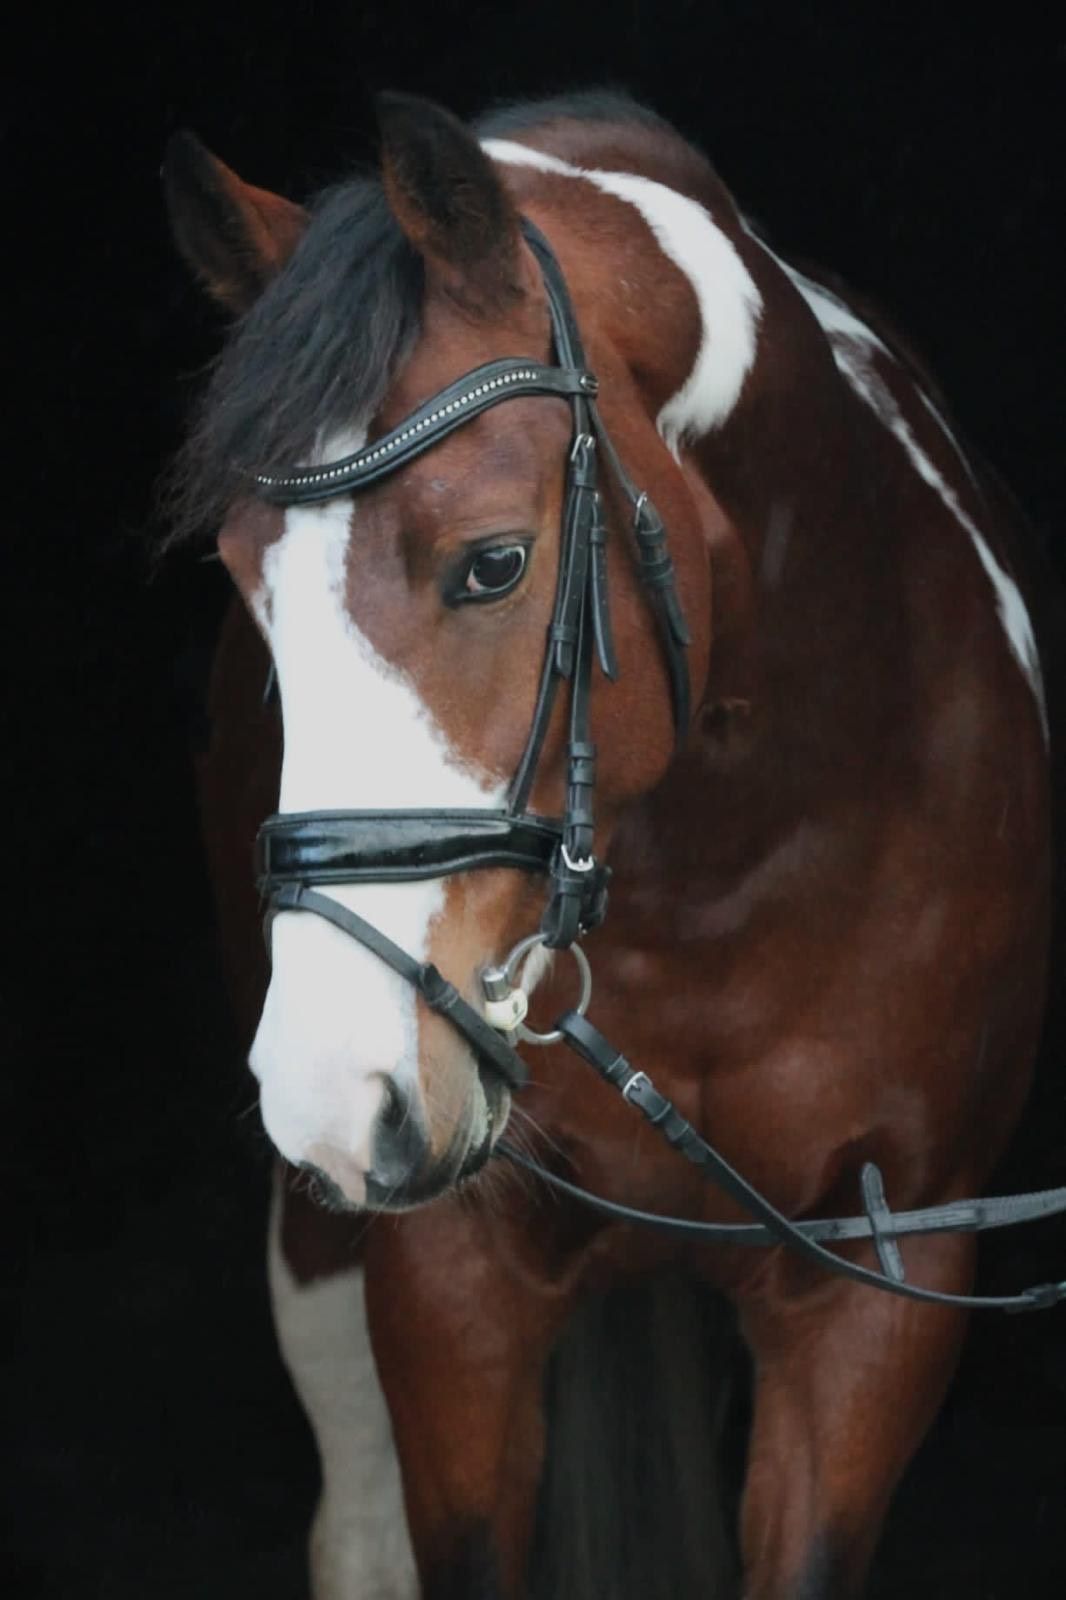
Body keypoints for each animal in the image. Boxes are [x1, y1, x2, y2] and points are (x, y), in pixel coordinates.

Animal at [163, 89, 1054, 1599]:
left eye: (493, 562)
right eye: (245, 579)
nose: (332, 1087)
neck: (728, 863)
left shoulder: (890, 1291)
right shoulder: (448, 1280)